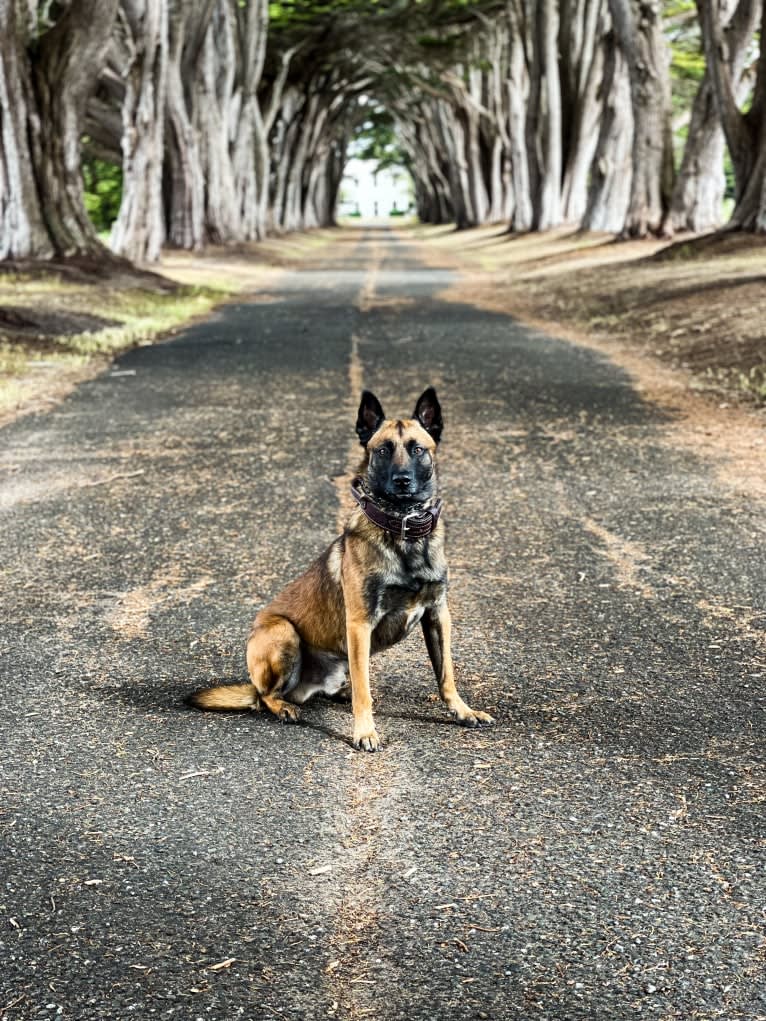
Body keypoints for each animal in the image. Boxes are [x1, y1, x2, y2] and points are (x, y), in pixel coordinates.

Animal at [188, 387, 494, 751]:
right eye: (382, 450)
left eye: (417, 449)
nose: (402, 481)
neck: (402, 530)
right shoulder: (360, 624)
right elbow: (365, 692)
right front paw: (365, 731)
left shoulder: (437, 616)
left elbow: (446, 674)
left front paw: (463, 710)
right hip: (282, 632)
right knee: (265, 696)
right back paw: (284, 707)